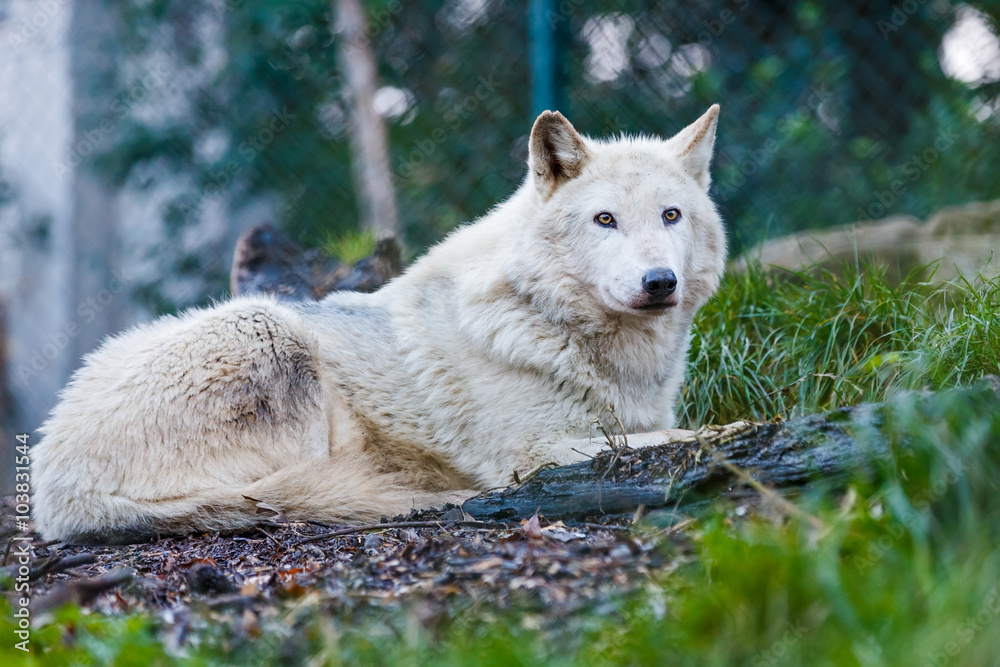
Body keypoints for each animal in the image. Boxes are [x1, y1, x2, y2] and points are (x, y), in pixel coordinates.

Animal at [33, 106, 726, 543]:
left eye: (671, 215)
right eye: (605, 220)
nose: (659, 281)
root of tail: (52, 483)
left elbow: (665, 431)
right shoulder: (534, 455)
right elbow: (678, 436)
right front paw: (734, 434)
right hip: (270, 332)